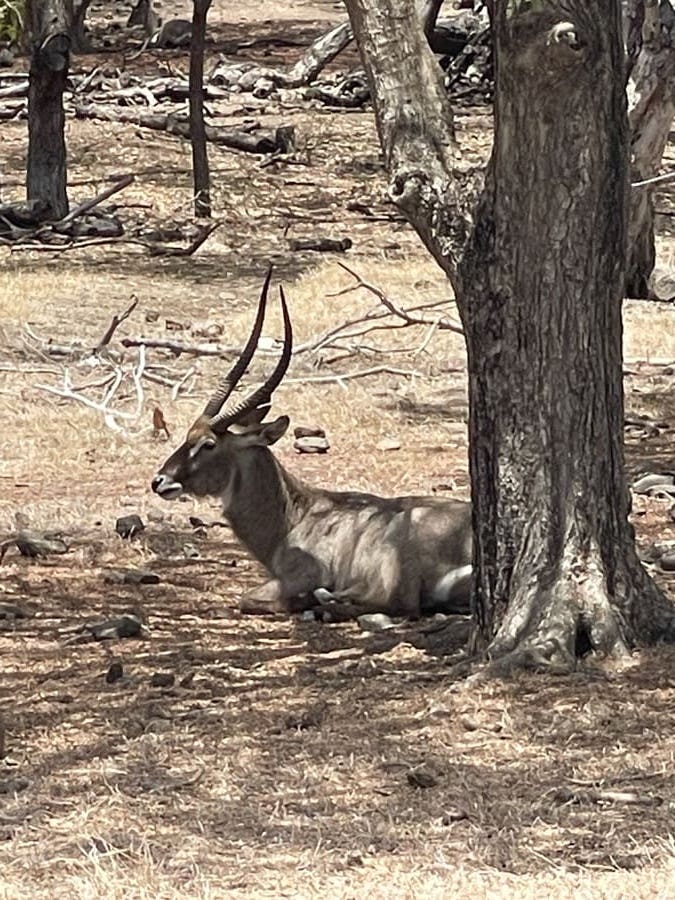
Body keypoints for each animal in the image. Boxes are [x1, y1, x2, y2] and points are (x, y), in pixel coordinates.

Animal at [151, 268, 472, 620]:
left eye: (208, 444)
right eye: (188, 435)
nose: (160, 481)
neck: (297, 515)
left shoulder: (300, 575)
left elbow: (247, 598)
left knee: (394, 604)